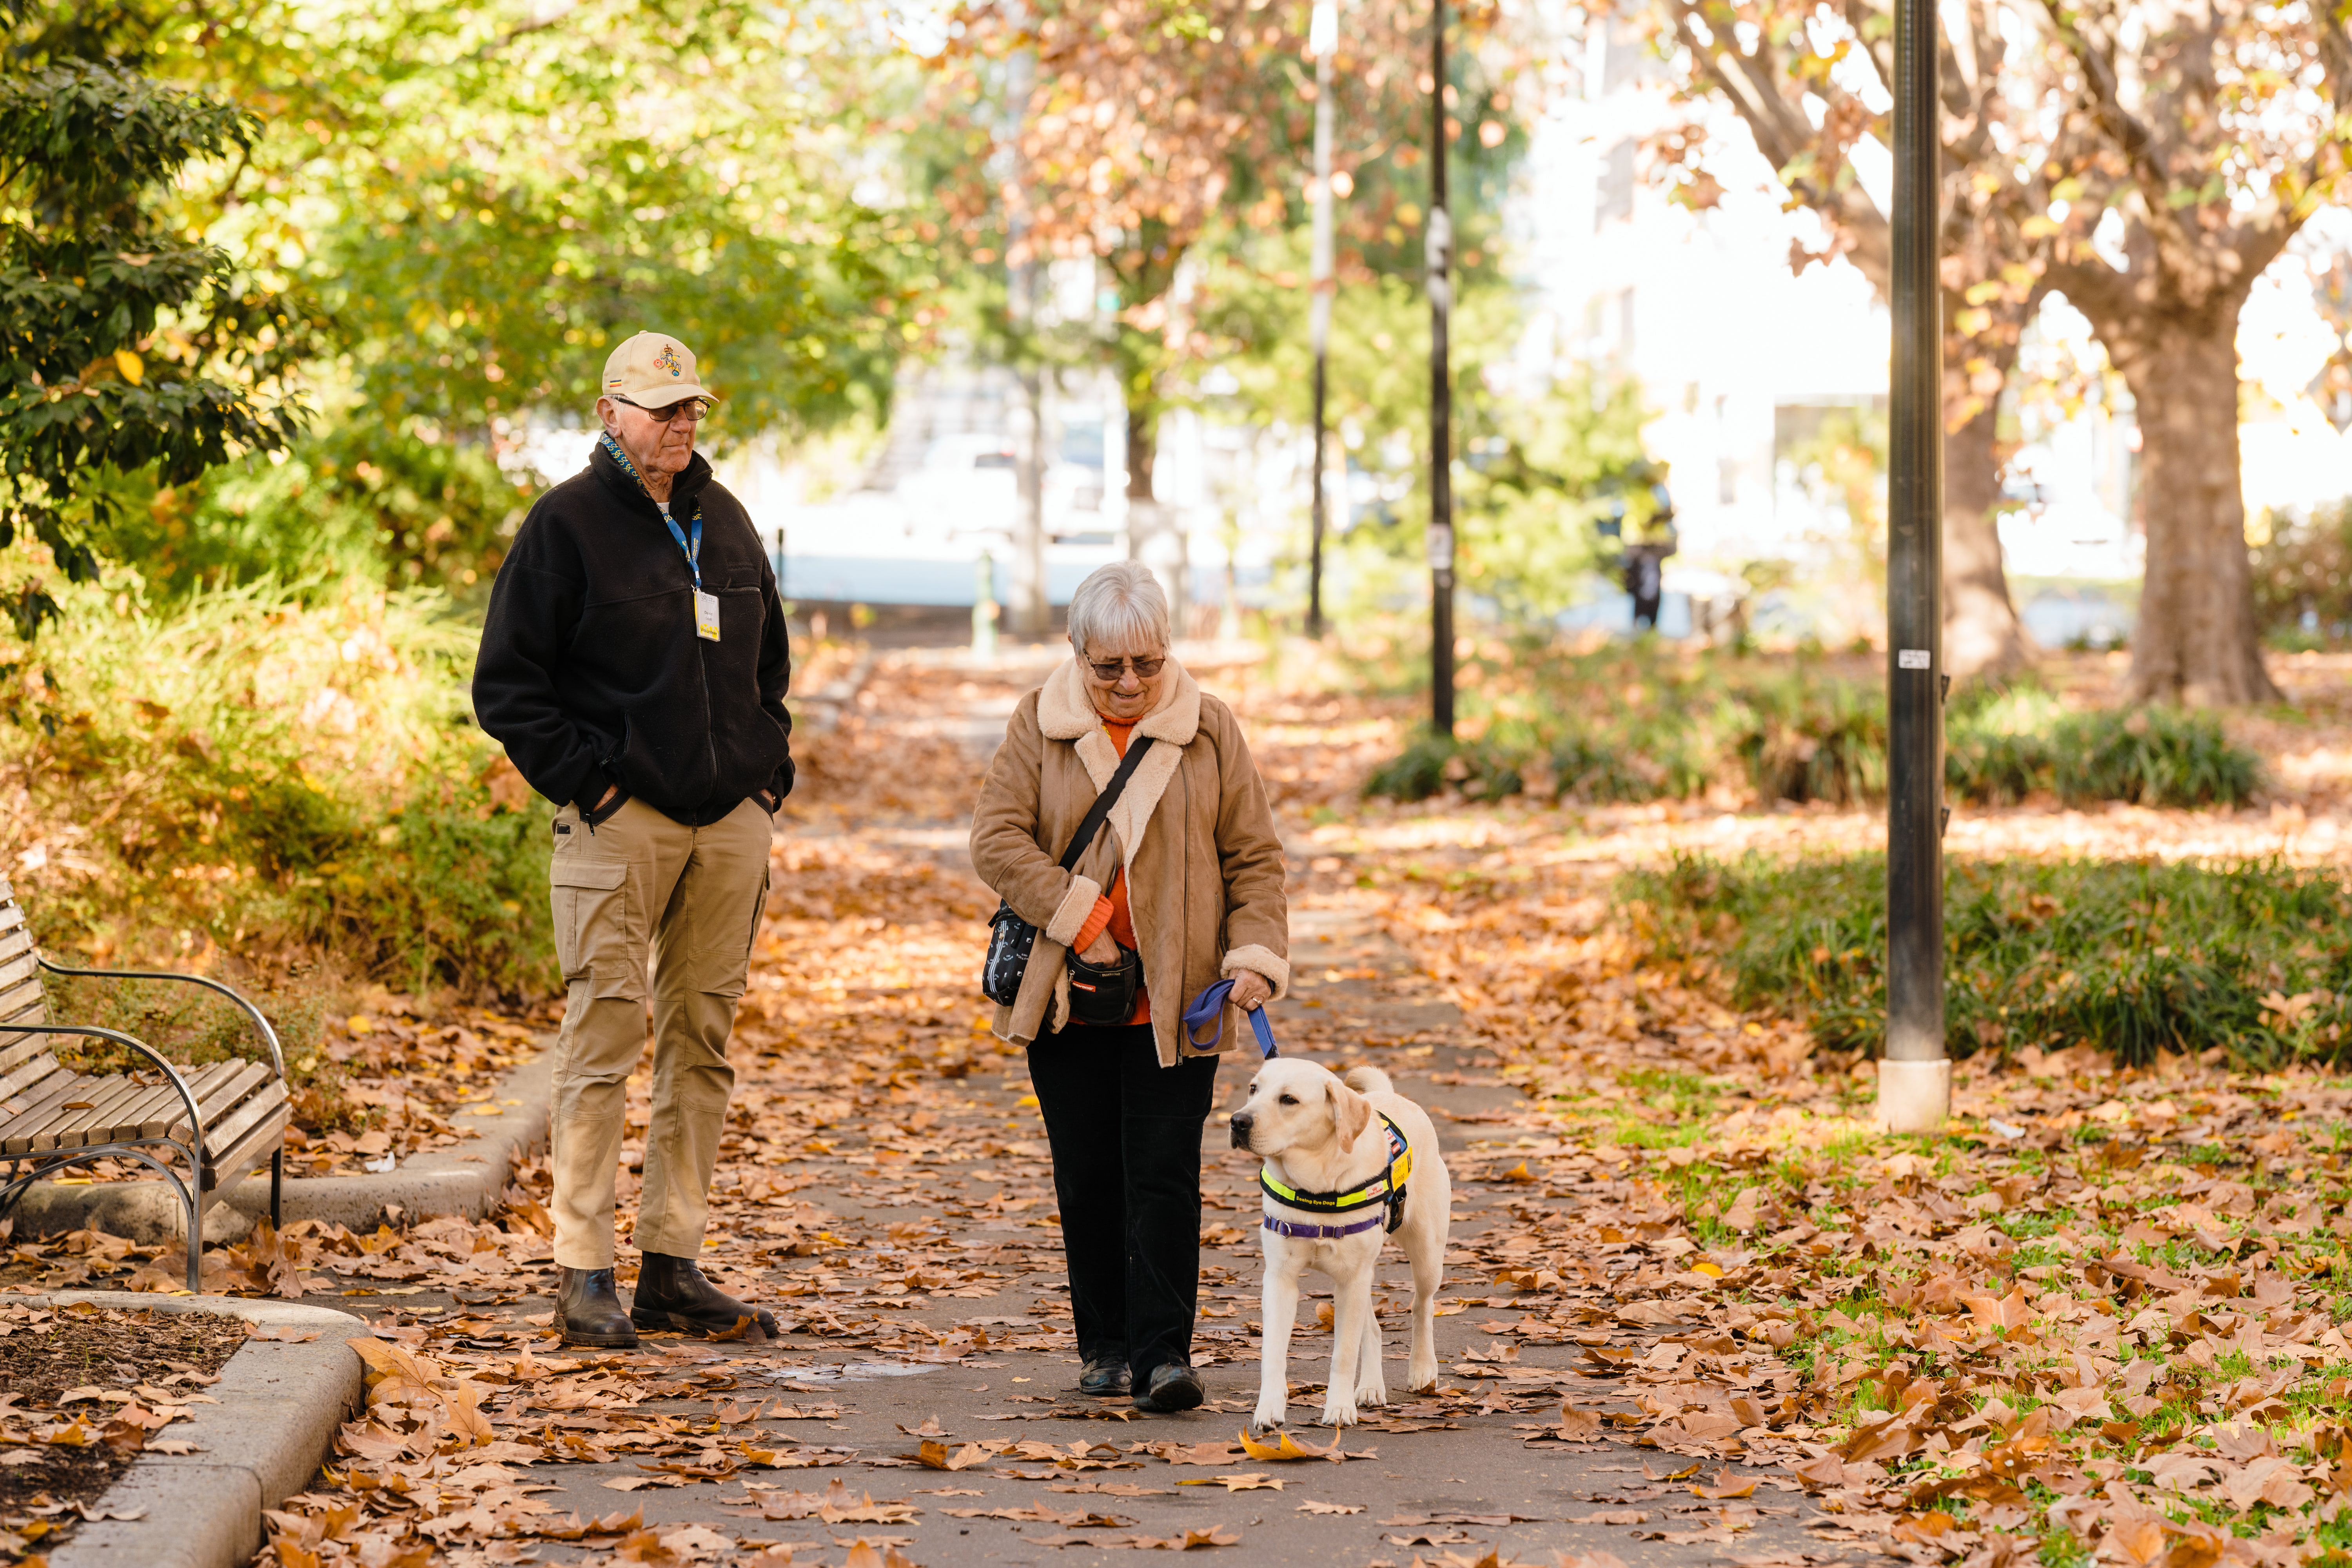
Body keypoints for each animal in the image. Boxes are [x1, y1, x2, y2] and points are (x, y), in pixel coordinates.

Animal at [1232, 1053, 1449, 1439]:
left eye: (1289, 1099)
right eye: (1253, 1089)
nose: (1237, 1121)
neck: (1315, 1185)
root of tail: (1392, 1095)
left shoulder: (1352, 1279)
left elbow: (1344, 1354)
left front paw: (1339, 1408)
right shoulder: (1280, 1280)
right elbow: (1273, 1352)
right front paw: (1269, 1408)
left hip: (1424, 1254)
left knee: (1422, 1306)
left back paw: (1422, 1368)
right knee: (1374, 1328)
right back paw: (1371, 1387)